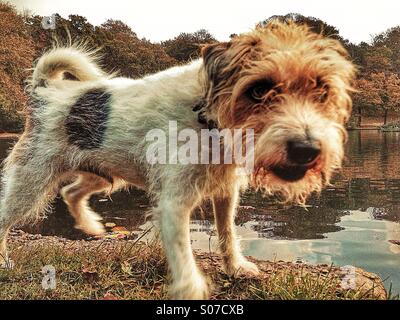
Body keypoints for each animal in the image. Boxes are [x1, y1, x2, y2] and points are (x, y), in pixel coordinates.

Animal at [0, 21, 356, 298]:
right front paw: (191, 289)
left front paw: (236, 267)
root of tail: (45, 91)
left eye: (322, 91)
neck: (206, 115)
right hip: (30, 181)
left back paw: (90, 225)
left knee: (70, 191)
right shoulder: (174, 203)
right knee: (8, 216)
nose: (306, 149)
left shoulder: (226, 191)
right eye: (258, 89)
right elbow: (183, 251)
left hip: (101, 174)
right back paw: (5, 260)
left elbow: (227, 232)